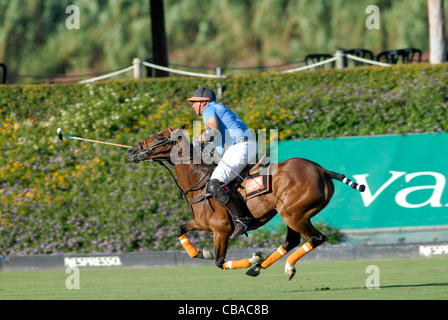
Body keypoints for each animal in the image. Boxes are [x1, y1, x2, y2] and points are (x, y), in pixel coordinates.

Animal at [128, 125, 366, 280]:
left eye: (159, 138)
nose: (132, 151)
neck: (200, 183)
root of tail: (322, 169)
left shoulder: (221, 231)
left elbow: (219, 262)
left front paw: (251, 258)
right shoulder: (203, 225)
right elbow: (180, 230)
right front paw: (201, 253)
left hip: (294, 214)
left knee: (315, 238)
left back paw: (281, 267)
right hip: (293, 214)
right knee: (293, 241)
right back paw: (259, 267)